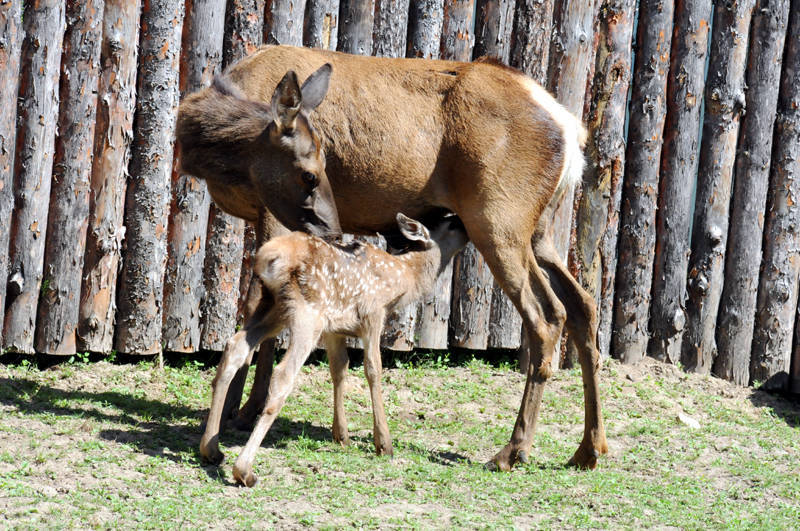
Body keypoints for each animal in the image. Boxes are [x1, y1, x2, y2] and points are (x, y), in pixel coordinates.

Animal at [177, 44, 608, 470]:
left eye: (316, 172)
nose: (335, 230)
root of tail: (570, 130)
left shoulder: (271, 212)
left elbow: (254, 303)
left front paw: (238, 411)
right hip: (539, 230)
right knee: (584, 305)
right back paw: (588, 448)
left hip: (499, 220)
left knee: (546, 316)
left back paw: (512, 450)